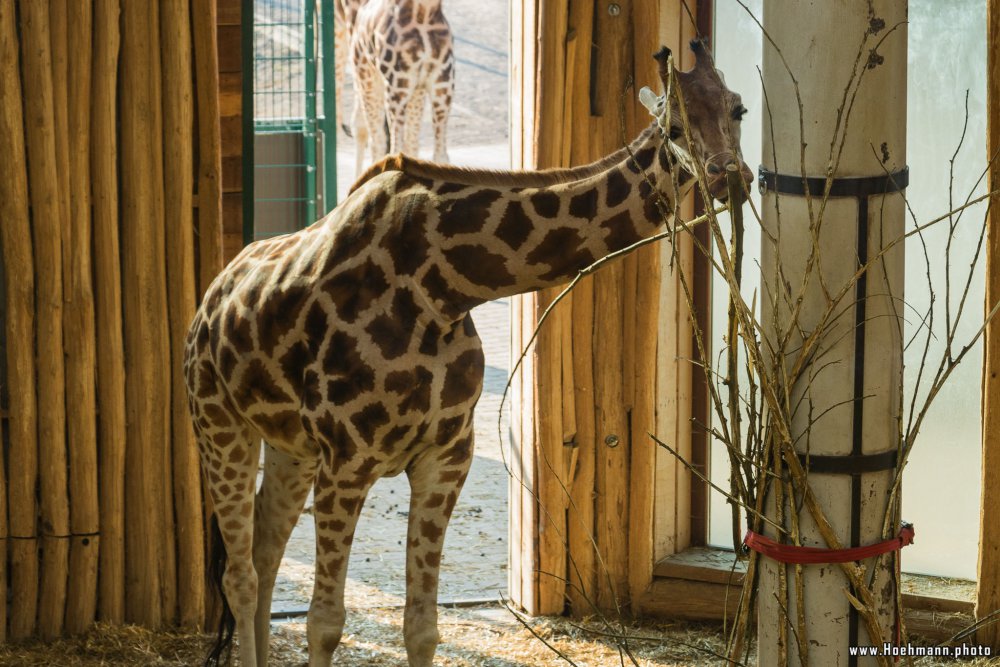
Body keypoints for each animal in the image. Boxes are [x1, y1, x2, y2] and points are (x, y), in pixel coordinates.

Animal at [186, 43, 752, 667]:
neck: (446, 288)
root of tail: (211, 298)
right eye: (673, 127)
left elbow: (422, 628)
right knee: (239, 574)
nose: (733, 179)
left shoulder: (444, 457)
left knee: (264, 554)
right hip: (220, 425)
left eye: (739, 108)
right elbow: (325, 623)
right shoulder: (348, 462)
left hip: (291, 447)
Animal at [350, 0, 456, 177]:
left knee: (390, 147)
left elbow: (377, 142)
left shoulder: (368, 76)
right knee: (436, 154)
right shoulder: (424, 87)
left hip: (394, 86)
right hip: (439, 86)